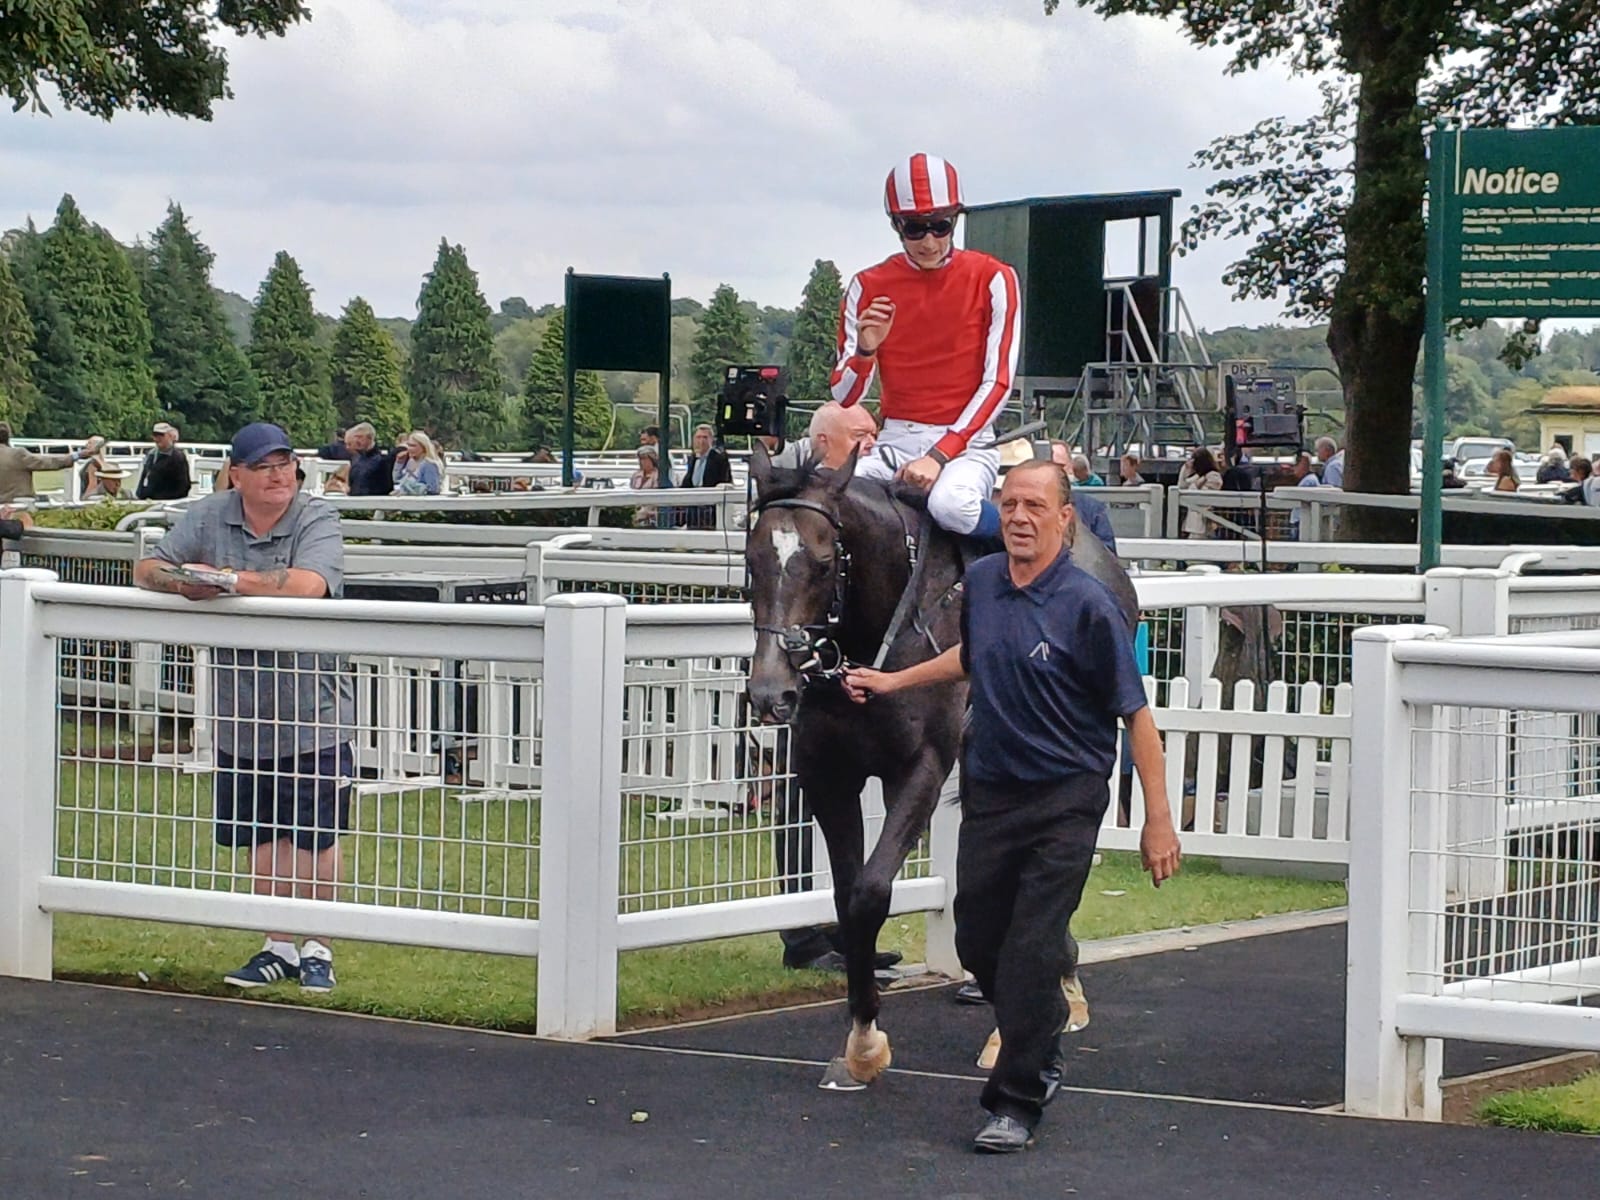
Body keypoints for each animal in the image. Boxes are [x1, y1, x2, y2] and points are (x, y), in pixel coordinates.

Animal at [745, 448, 1139, 1094]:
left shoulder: (921, 769)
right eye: (752, 560)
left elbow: (871, 894)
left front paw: (867, 1044)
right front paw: (861, 1039)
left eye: (824, 562)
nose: (771, 692)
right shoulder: (829, 776)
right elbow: (847, 896)